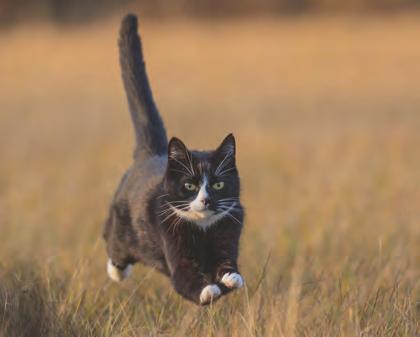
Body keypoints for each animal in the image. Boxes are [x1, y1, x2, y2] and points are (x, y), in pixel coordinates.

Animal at [103, 13, 244, 304]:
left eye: (218, 184)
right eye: (189, 185)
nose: (206, 200)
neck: (203, 229)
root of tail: (151, 153)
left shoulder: (229, 230)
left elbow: (227, 266)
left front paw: (230, 277)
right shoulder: (175, 250)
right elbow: (185, 279)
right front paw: (208, 290)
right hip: (120, 229)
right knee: (112, 244)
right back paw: (117, 271)